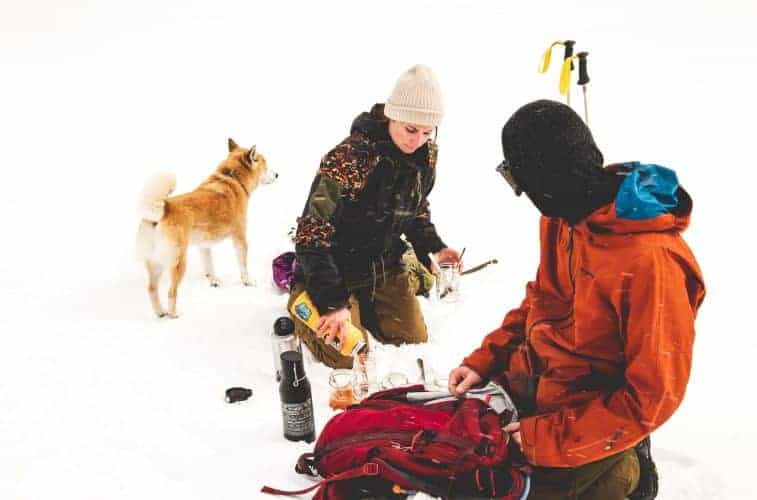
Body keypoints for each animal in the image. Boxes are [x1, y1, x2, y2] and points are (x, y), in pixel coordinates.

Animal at [137, 139, 278, 318]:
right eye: (266, 167)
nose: (277, 174)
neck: (233, 179)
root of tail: (161, 211)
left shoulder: (204, 244)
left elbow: (209, 265)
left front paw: (213, 280)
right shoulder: (240, 237)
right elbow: (243, 264)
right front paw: (248, 281)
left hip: (155, 263)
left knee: (151, 289)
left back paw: (160, 312)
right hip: (178, 262)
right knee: (171, 292)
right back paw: (173, 314)